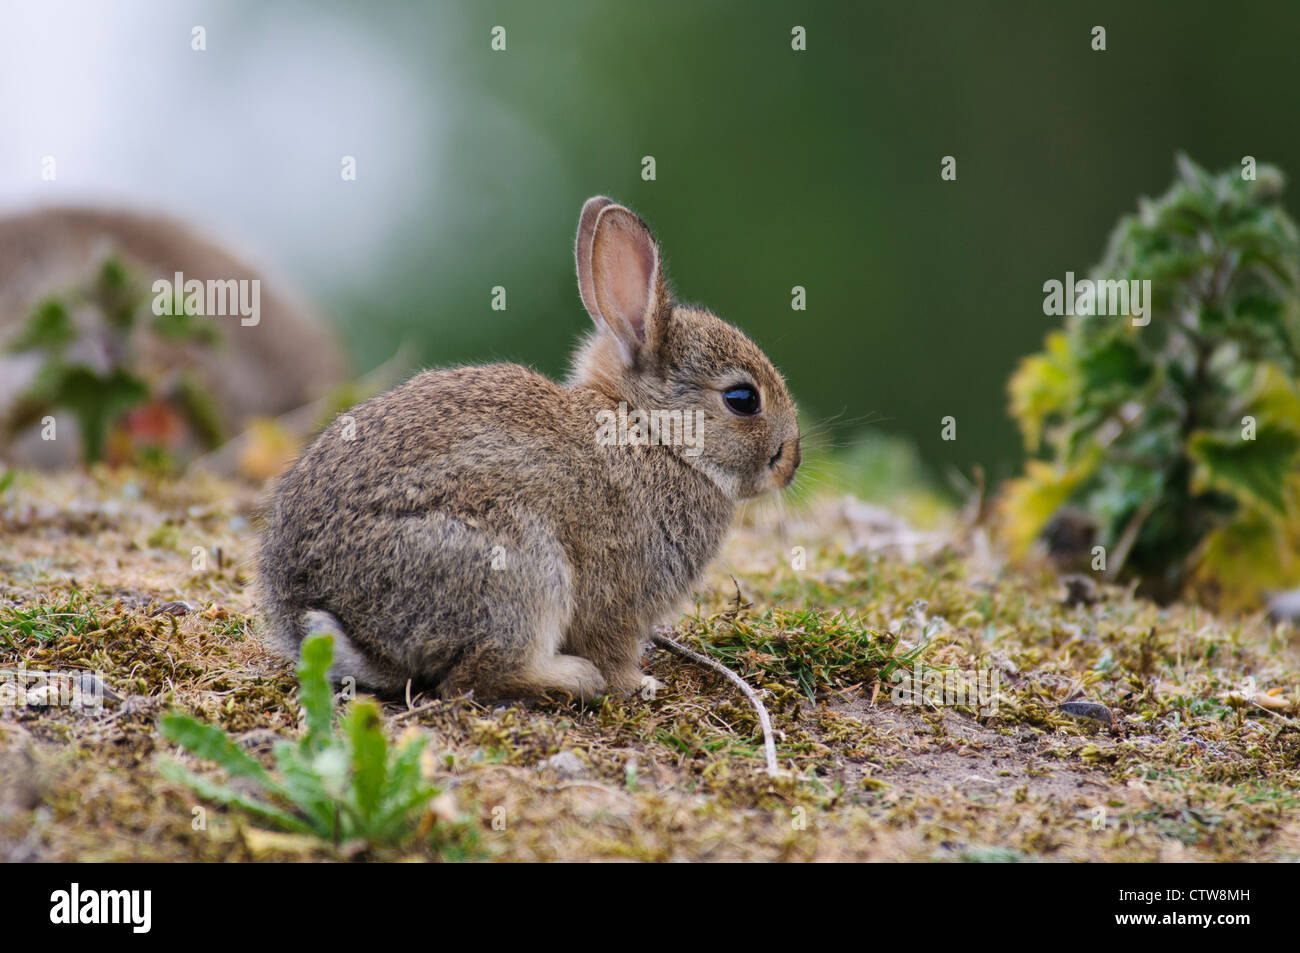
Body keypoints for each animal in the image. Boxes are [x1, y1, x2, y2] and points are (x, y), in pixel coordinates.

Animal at [258, 197, 801, 701]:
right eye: (743, 399)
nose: (791, 463)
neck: (651, 431)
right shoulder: (619, 599)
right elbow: (613, 648)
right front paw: (638, 684)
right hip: (518, 564)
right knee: (474, 676)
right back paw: (576, 679)